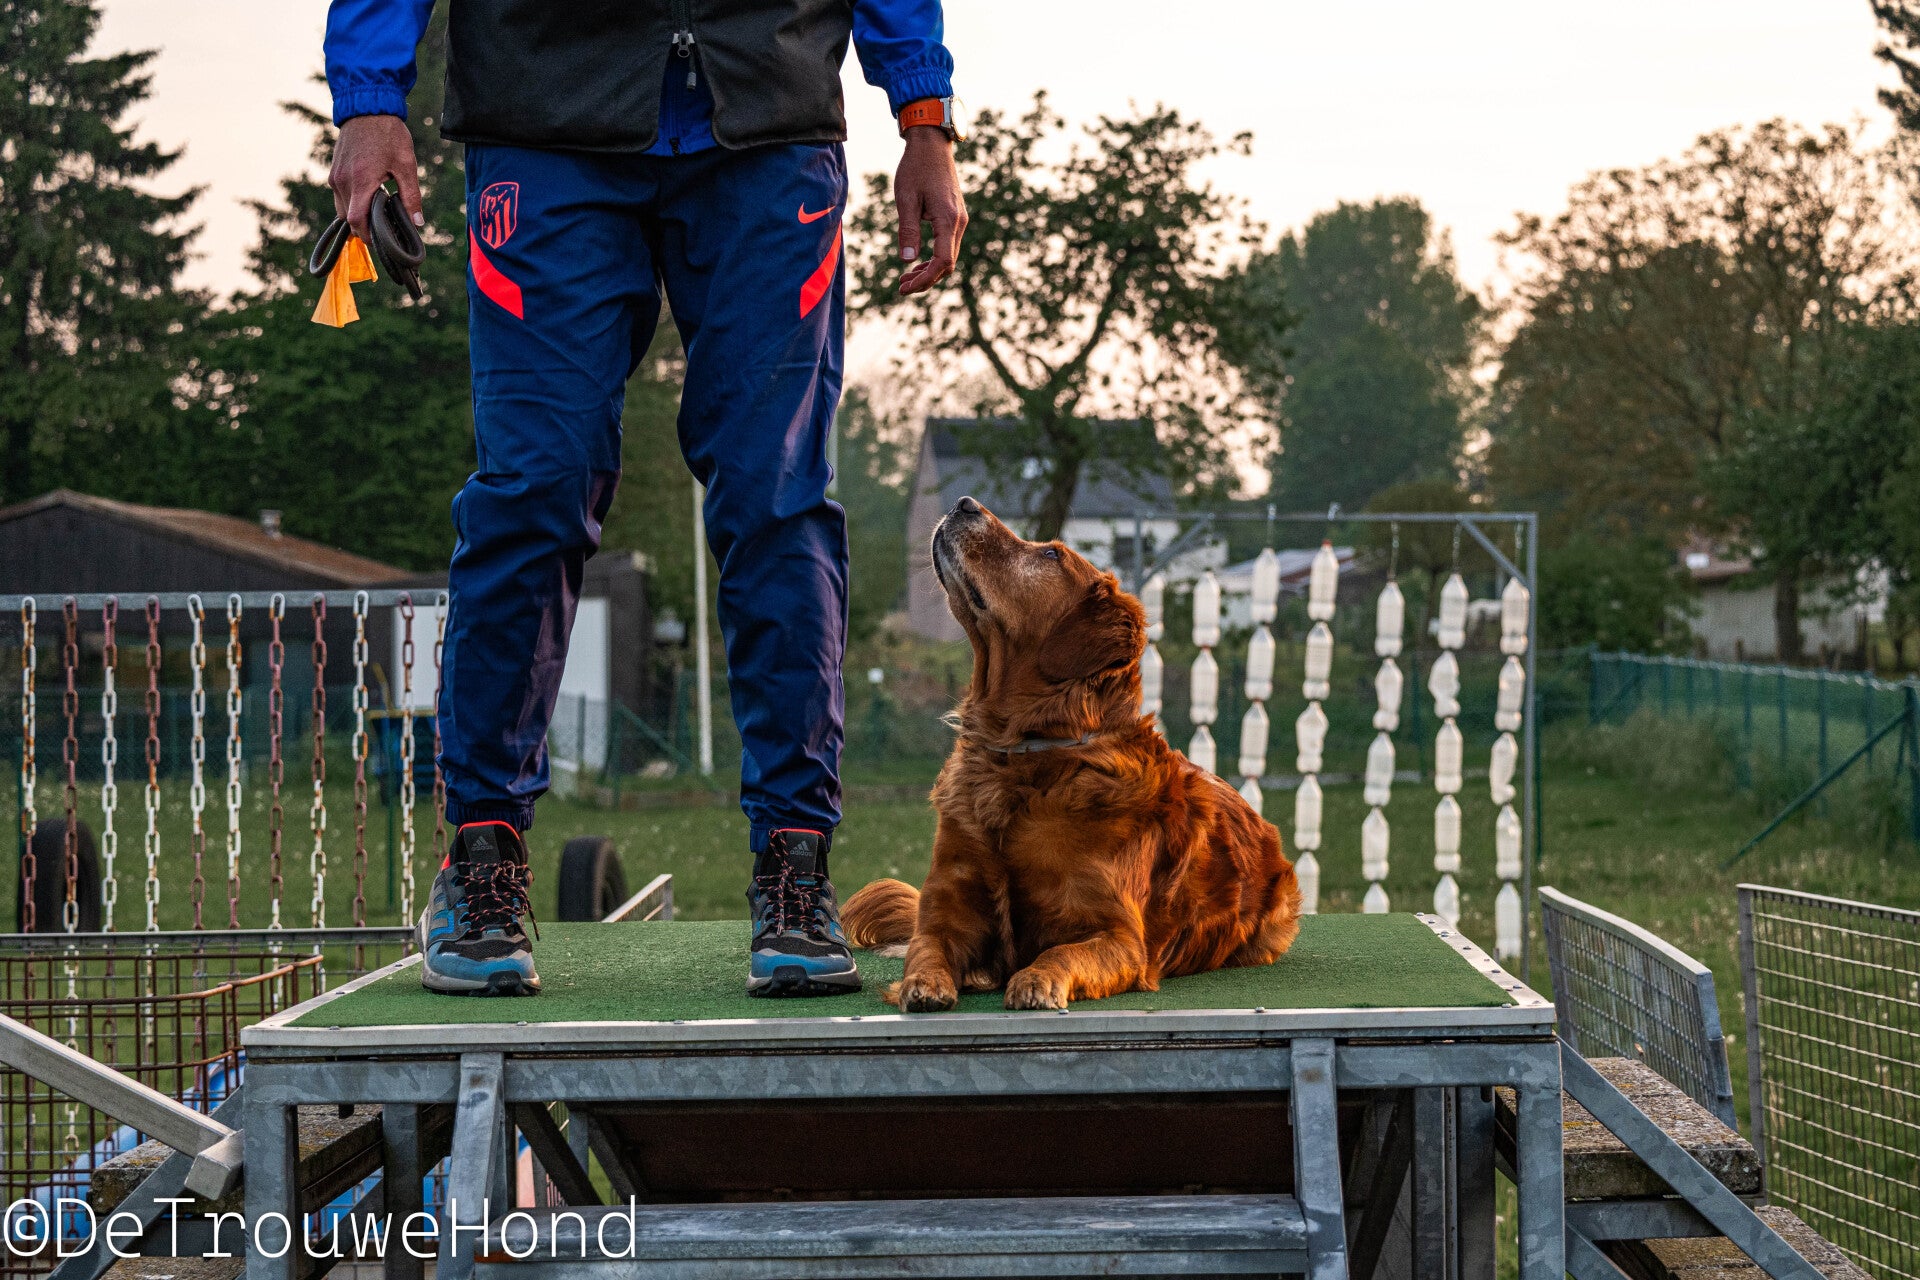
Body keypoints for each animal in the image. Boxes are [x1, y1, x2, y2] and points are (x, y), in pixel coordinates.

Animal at [842, 496, 1301, 1012]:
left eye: (1050, 556)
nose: (964, 504)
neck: (1022, 757)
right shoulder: (943, 911)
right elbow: (926, 947)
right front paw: (925, 983)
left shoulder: (1121, 937)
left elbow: (1062, 952)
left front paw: (1036, 980)